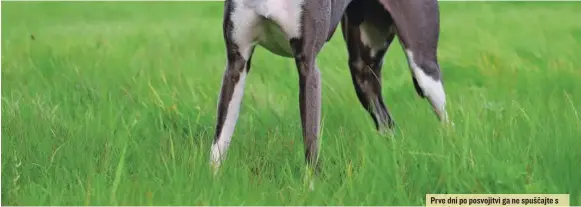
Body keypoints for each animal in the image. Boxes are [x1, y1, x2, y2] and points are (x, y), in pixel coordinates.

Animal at [210, 0, 448, 176]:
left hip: (423, 65)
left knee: (445, 118)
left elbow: (310, 139)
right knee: (386, 122)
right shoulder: (236, 63)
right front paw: (213, 181)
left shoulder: (308, 65)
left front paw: (309, 189)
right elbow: (220, 136)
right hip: (363, 73)